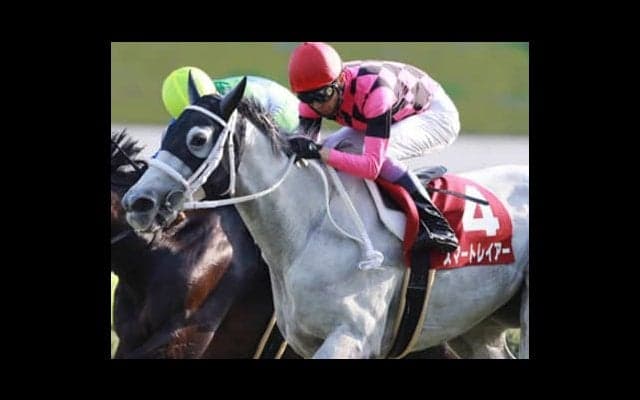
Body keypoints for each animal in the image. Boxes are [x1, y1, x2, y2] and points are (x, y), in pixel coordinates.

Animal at [121, 79, 529, 359]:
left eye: (197, 138)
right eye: (166, 131)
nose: (138, 202)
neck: (309, 233)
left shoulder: (351, 337)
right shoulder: (304, 341)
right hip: (477, 327)